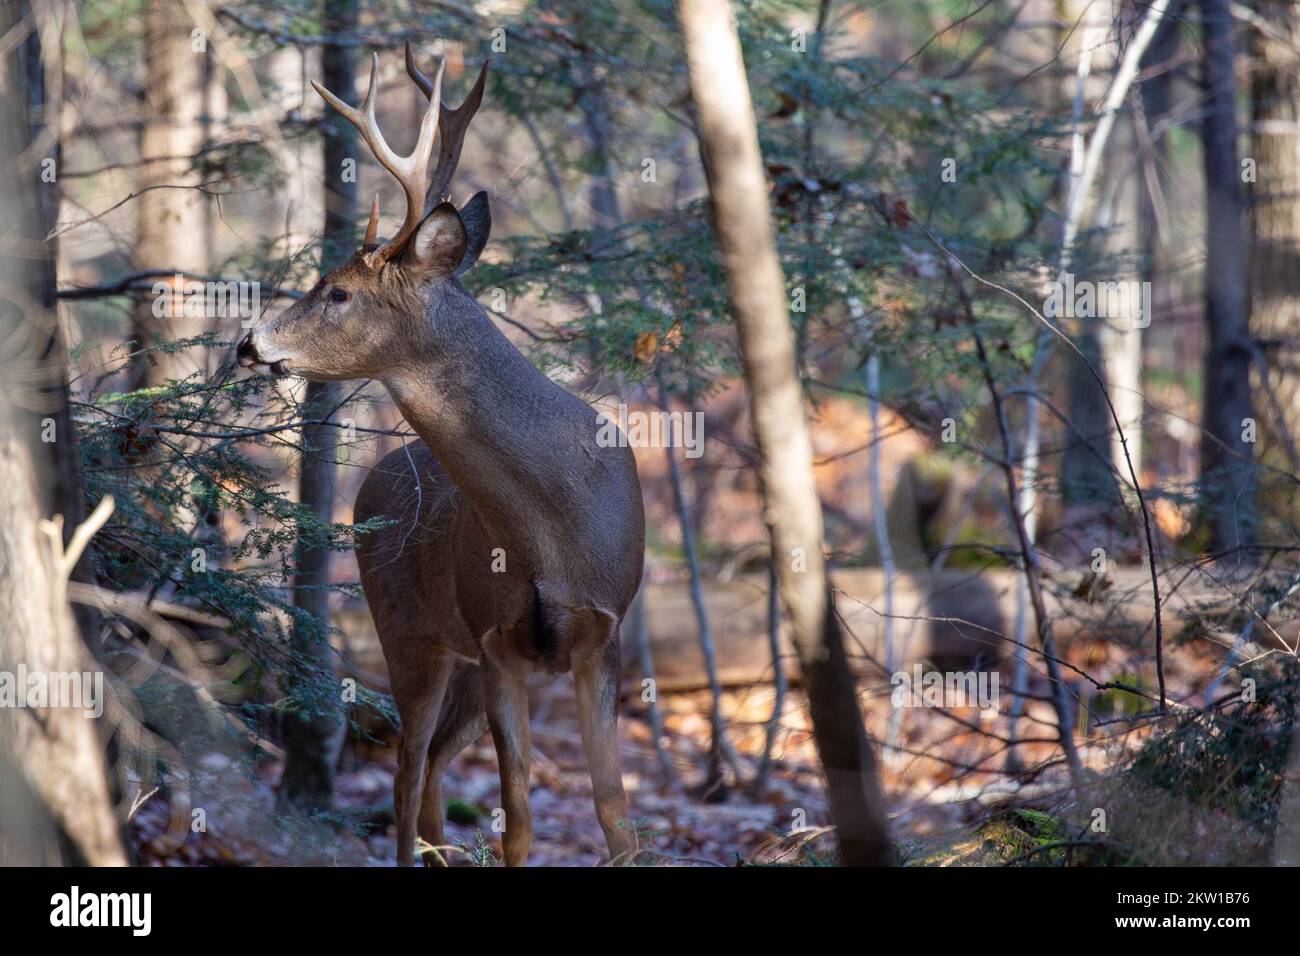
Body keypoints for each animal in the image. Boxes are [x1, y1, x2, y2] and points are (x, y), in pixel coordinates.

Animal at [237, 44, 645, 866]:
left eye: (337, 292)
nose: (248, 341)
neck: (554, 527)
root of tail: (381, 473)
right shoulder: (496, 641)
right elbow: (518, 821)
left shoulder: (602, 634)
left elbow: (616, 815)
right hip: (408, 632)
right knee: (406, 772)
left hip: (453, 662)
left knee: (428, 781)